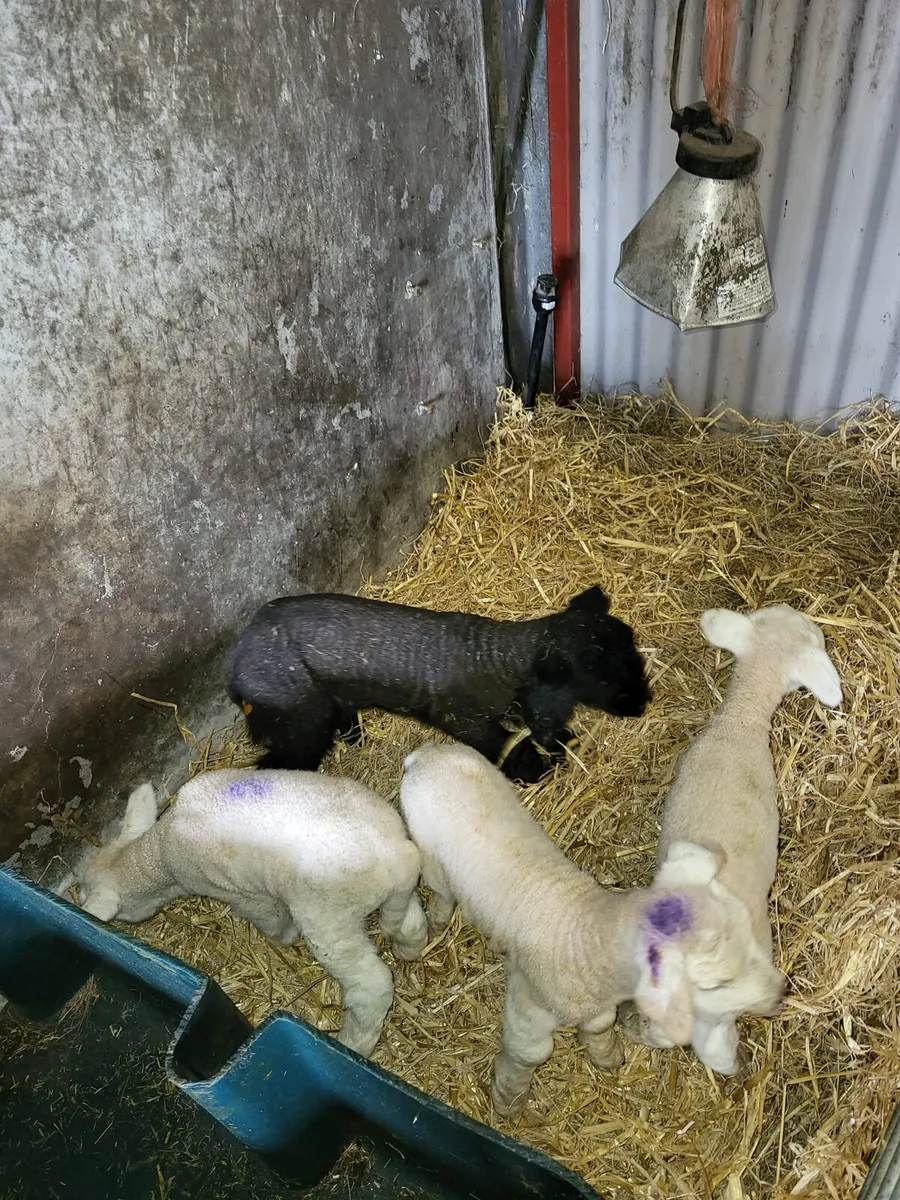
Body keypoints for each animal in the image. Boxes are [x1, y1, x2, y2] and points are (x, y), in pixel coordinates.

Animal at [74, 768, 429, 1057]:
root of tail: (394, 853)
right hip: (390, 886)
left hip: (328, 916)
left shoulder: (241, 894)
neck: (158, 855)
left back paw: (354, 1043)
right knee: (409, 921)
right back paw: (408, 948)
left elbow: (272, 921)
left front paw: (284, 938)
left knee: (371, 986)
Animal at [224, 586, 651, 785]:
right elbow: (505, 746)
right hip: (299, 720)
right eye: (601, 676)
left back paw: (352, 734)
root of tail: (236, 663)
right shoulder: (465, 719)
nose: (643, 703)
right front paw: (535, 770)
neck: (500, 660)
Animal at [398, 741, 784, 1117]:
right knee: (441, 889)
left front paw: (606, 1056)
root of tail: (423, 756)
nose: (780, 993)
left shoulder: (597, 1003)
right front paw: (508, 1098)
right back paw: (439, 917)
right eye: (715, 983)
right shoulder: (529, 1002)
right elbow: (530, 1053)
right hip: (430, 856)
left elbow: (599, 1026)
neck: (585, 934)